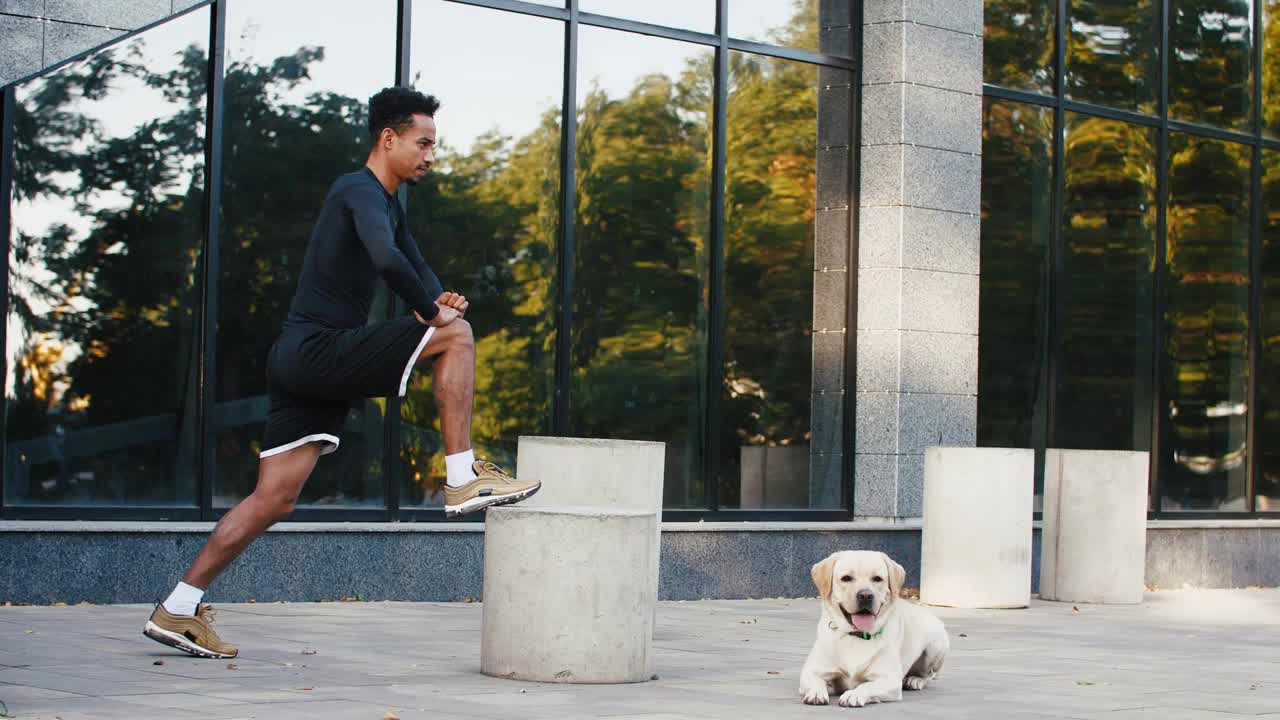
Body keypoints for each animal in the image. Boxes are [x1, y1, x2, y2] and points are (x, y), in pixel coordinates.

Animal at [798, 550, 952, 702]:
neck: (857, 636)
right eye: (846, 578)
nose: (866, 595)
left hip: (935, 647)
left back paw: (915, 680)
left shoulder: (890, 680)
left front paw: (854, 694)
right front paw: (816, 692)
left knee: (929, 675)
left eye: (877, 578)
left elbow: (867, 685)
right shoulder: (811, 671)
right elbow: (816, 680)